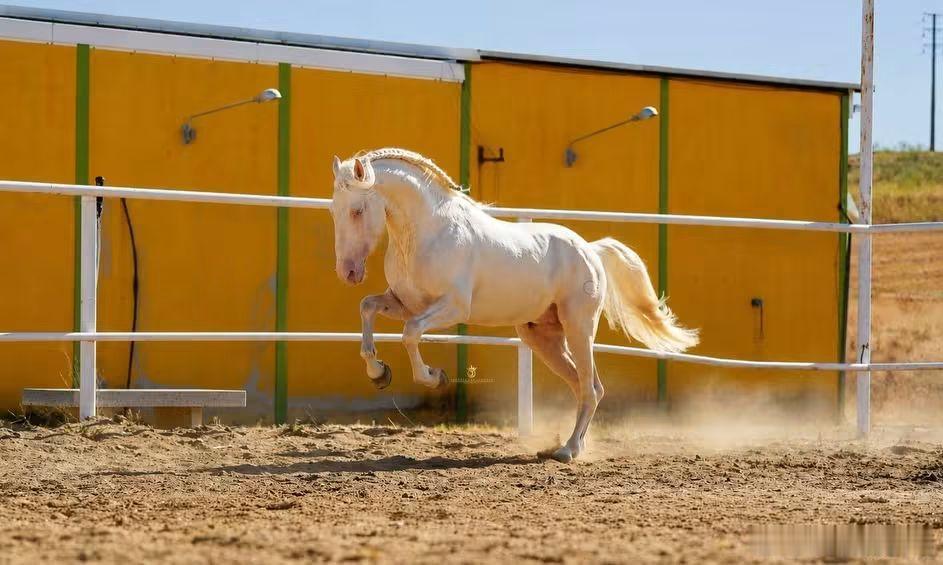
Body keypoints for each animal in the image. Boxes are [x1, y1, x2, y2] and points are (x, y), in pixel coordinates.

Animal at [329, 148, 698, 462]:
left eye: (357, 210)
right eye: (333, 209)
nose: (348, 272)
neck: (429, 233)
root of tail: (591, 250)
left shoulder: (451, 308)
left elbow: (410, 333)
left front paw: (435, 377)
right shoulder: (403, 302)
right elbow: (367, 307)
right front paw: (379, 373)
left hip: (579, 329)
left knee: (591, 388)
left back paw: (567, 451)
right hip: (542, 338)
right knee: (584, 386)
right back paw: (570, 446)